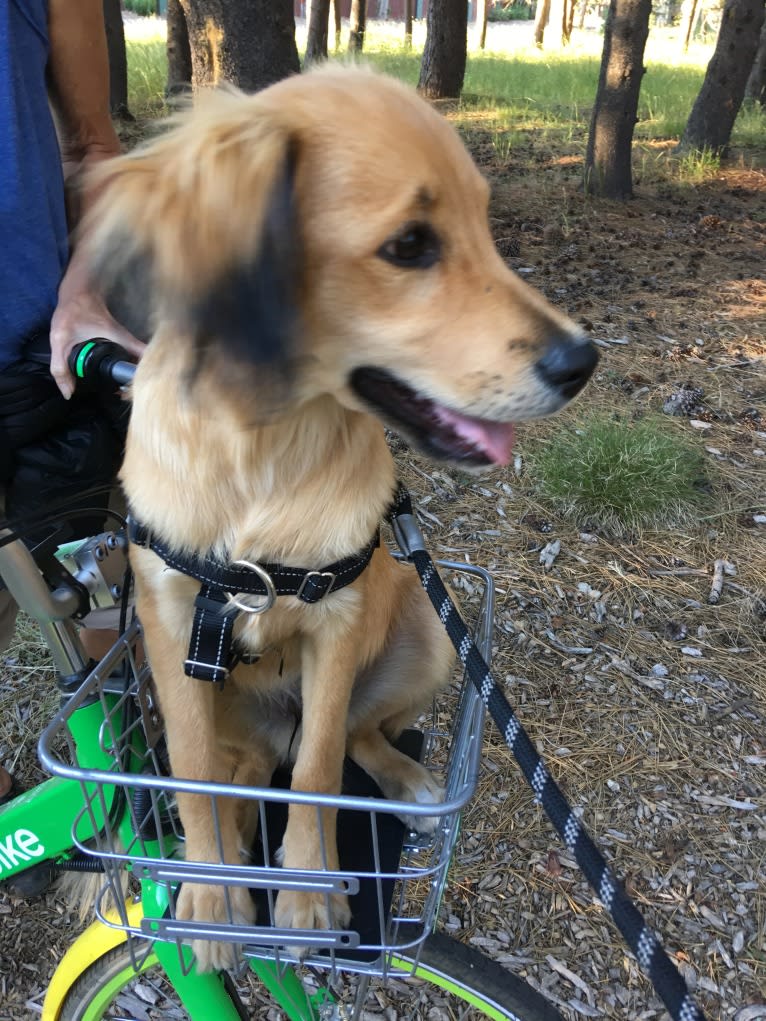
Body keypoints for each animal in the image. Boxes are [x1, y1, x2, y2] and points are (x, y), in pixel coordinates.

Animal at [85, 67, 600, 967]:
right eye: (410, 245)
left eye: (484, 222)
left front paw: (306, 894)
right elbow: (191, 772)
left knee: (350, 737)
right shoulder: (169, 621)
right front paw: (211, 897)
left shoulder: (337, 621)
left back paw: (404, 778)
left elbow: (321, 766)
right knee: (240, 767)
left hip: (428, 637)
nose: (582, 362)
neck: (262, 451)